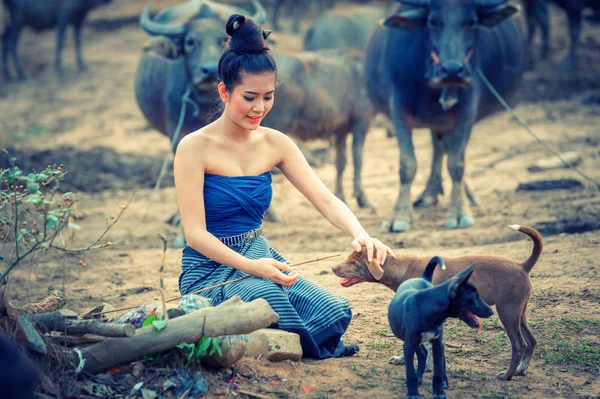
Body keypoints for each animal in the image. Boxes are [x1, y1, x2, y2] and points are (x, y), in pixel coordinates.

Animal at [332, 225, 544, 382]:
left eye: (354, 262)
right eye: (349, 258)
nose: (333, 268)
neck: (401, 268)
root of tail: (523, 266)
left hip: (507, 311)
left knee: (519, 344)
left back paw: (507, 375)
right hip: (519, 312)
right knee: (532, 340)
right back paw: (521, 370)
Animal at [366, 0, 524, 233]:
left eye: (471, 22)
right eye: (433, 22)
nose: (452, 70)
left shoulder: (468, 106)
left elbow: (456, 163)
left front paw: (459, 212)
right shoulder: (398, 106)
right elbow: (407, 164)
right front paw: (399, 216)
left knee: (448, 148)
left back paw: (467, 196)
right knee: (440, 143)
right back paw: (429, 193)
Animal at [386, 258, 494, 398]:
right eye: (474, 297)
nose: (492, 311)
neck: (427, 307)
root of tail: (423, 278)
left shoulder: (438, 343)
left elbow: (438, 372)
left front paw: (439, 392)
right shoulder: (409, 344)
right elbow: (410, 373)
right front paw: (413, 393)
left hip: (435, 344)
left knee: (439, 360)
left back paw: (443, 382)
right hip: (413, 342)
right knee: (423, 354)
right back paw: (419, 378)